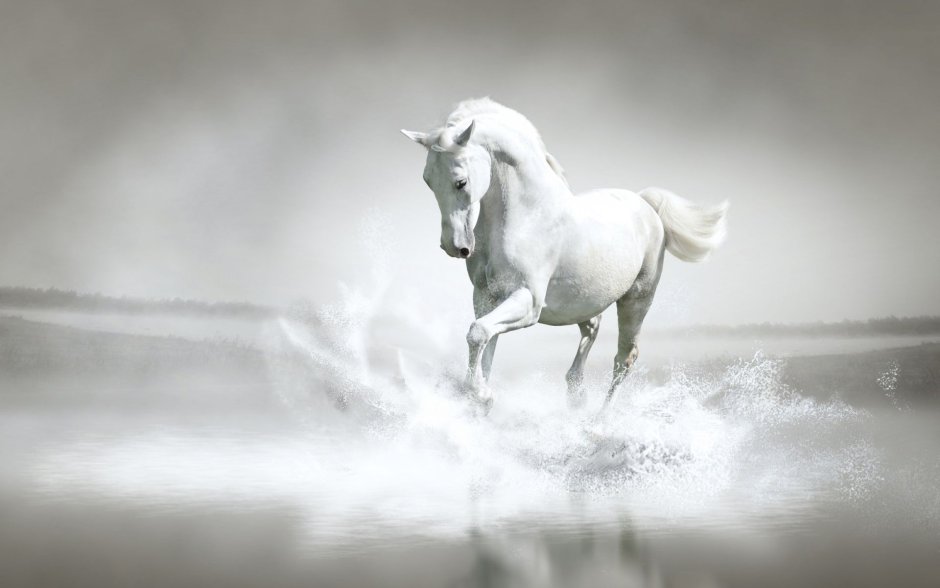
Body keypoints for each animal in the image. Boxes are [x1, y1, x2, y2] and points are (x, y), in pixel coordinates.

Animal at [401, 98, 728, 411]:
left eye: (461, 182)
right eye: (428, 180)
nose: (454, 246)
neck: (527, 216)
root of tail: (646, 204)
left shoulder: (528, 301)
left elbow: (479, 333)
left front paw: (481, 395)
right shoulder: (486, 297)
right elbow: (484, 342)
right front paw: (479, 398)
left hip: (636, 300)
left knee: (624, 359)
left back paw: (599, 420)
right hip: (584, 301)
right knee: (592, 329)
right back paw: (576, 394)